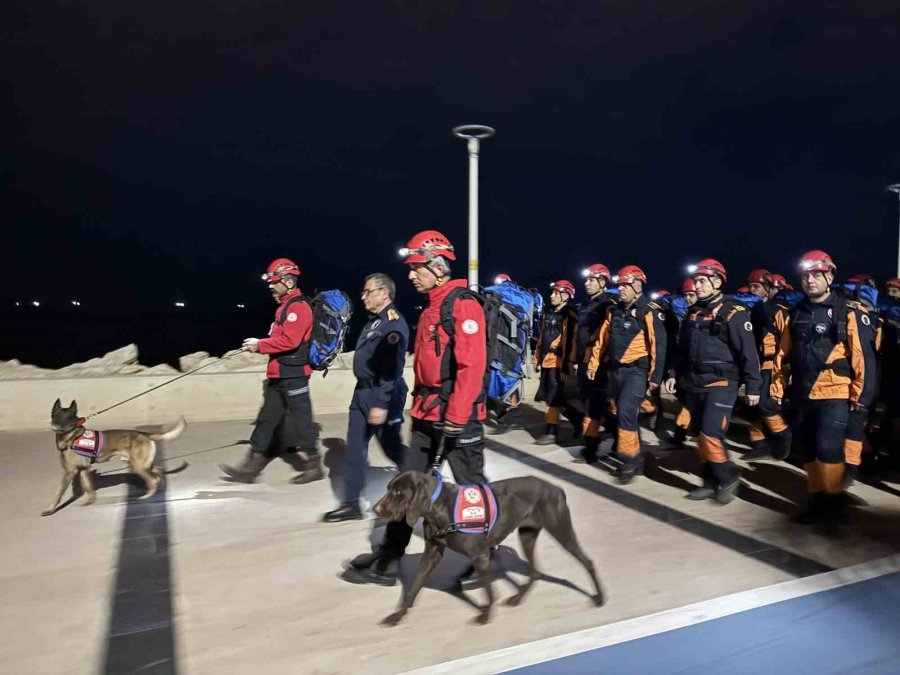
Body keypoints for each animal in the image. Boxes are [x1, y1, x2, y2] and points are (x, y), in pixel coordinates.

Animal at [46, 398, 188, 516]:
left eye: (68, 417)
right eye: (55, 415)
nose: (56, 425)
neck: (70, 437)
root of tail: (145, 434)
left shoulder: (69, 472)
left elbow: (58, 493)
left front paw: (50, 509)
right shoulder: (83, 470)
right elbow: (88, 489)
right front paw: (87, 503)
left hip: (139, 466)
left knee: (153, 480)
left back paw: (146, 497)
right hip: (143, 464)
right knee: (159, 471)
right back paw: (160, 489)